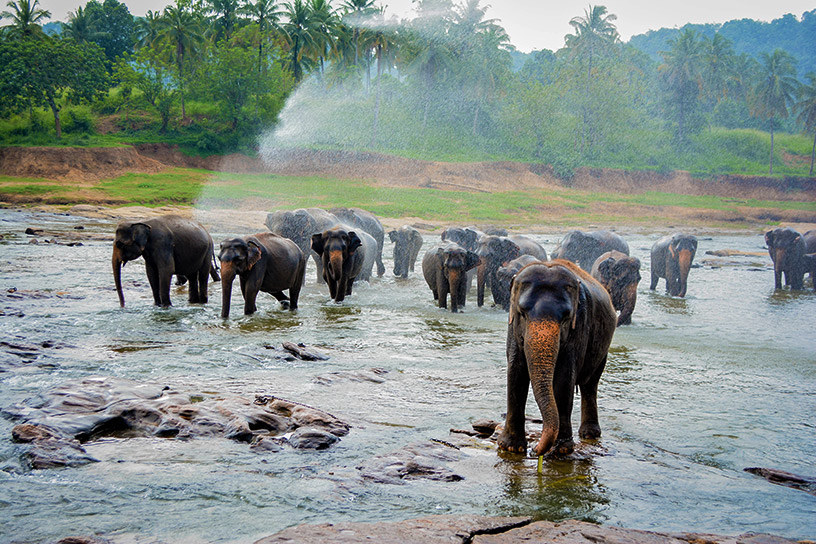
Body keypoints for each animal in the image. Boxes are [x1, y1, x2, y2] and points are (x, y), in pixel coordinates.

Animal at [497, 259, 616, 457]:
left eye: (566, 318)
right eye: (522, 312)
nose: (534, 450)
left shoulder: (579, 329)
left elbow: (564, 378)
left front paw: (562, 449)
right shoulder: (512, 329)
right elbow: (516, 372)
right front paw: (511, 447)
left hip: (603, 349)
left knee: (590, 384)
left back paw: (589, 434)